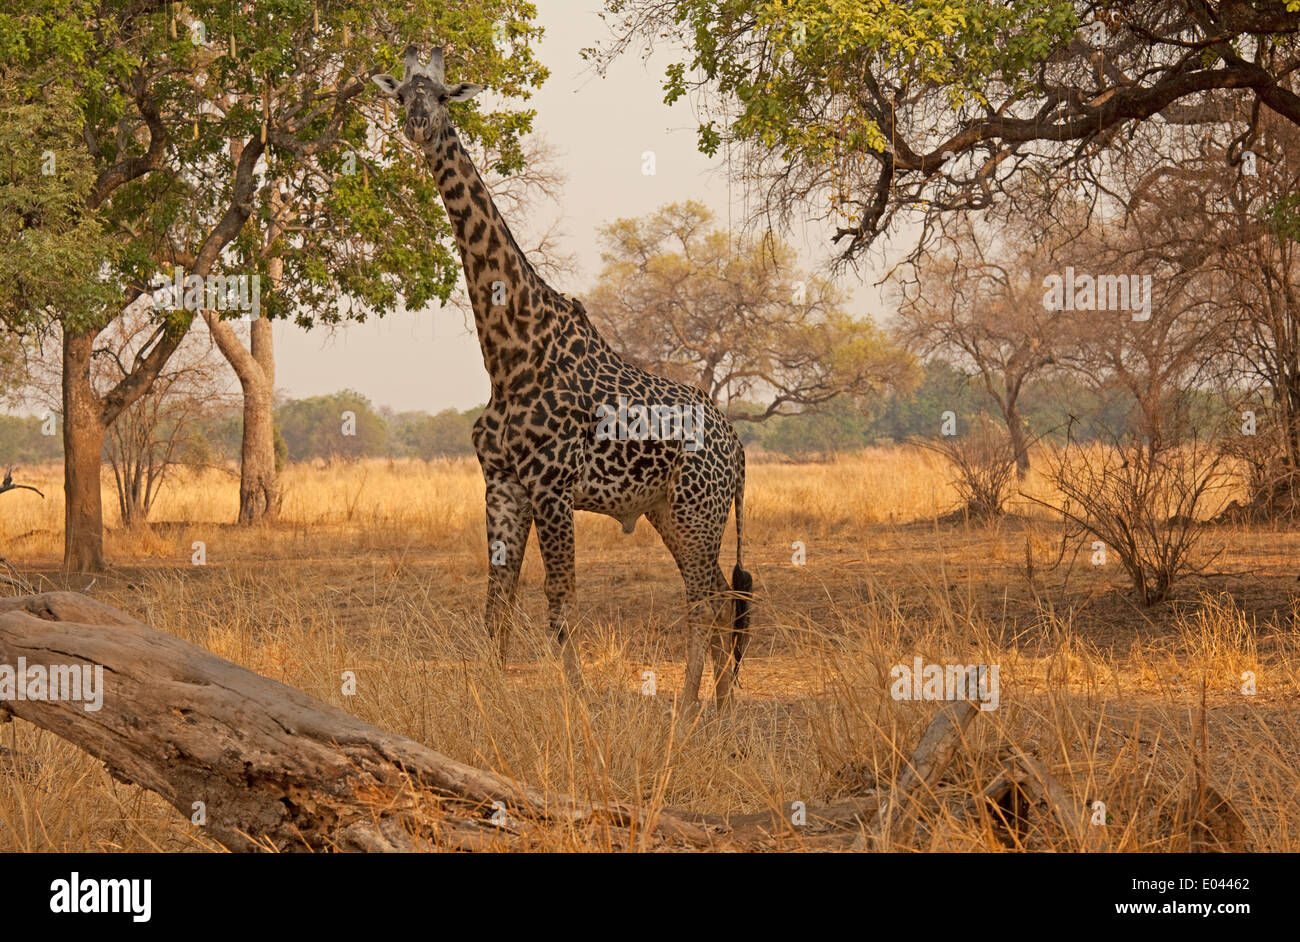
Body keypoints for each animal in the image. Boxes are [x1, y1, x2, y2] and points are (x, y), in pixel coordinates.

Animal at [374, 42, 754, 706]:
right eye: (401, 94)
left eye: (442, 95)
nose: (419, 124)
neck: (508, 354)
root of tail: (736, 448)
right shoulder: (502, 483)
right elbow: (497, 604)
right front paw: (492, 699)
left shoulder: (551, 486)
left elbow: (560, 603)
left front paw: (577, 701)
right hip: (670, 512)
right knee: (712, 596)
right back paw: (712, 705)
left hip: (698, 511)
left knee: (711, 600)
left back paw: (695, 707)